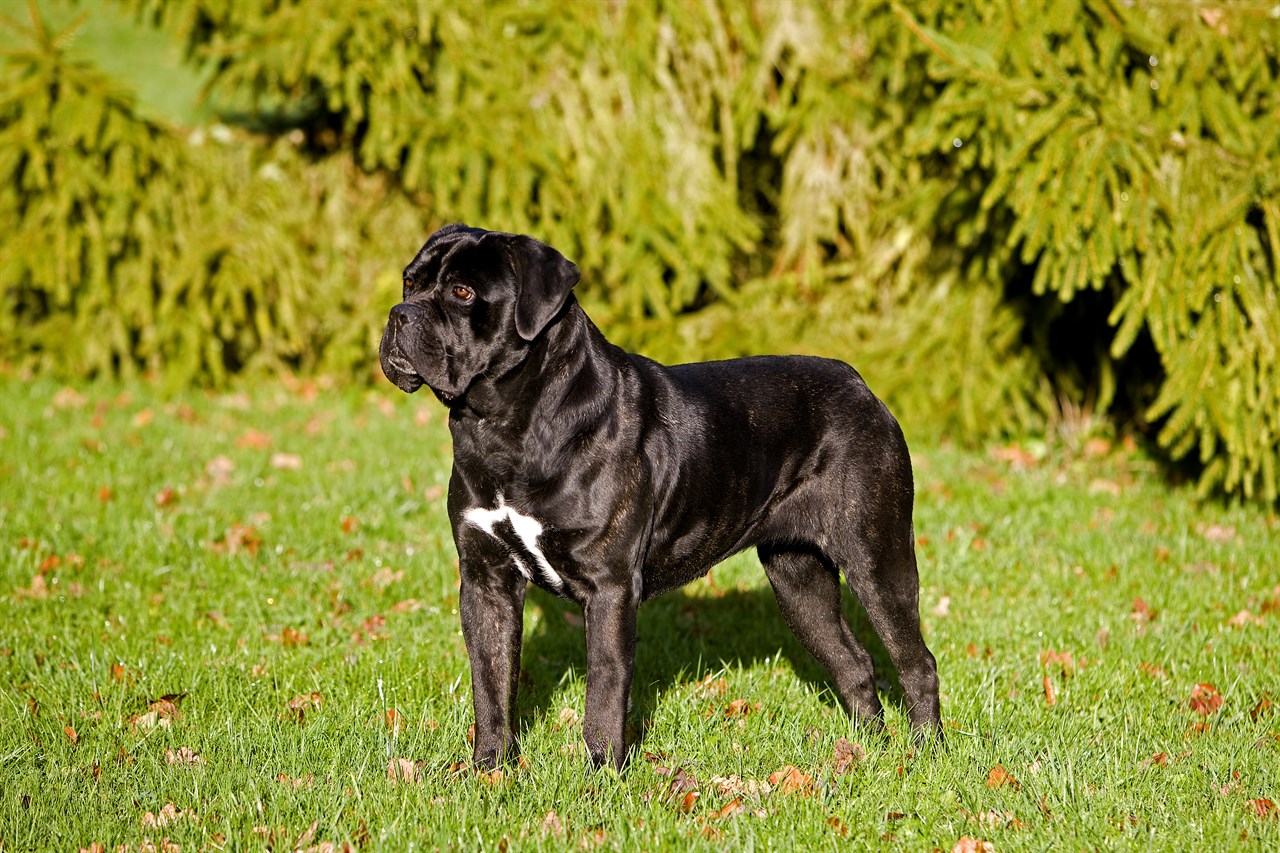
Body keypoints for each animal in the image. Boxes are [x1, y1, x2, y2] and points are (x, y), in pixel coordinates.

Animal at [378, 222, 942, 768]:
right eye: (409, 282)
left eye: (463, 292)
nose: (398, 314)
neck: (503, 425)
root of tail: (860, 385)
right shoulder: (485, 582)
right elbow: (491, 684)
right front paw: (490, 770)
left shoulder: (609, 587)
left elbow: (605, 691)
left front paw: (601, 774)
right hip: (798, 578)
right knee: (853, 661)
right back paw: (871, 751)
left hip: (876, 557)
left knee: (917, 661)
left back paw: (925, 754)